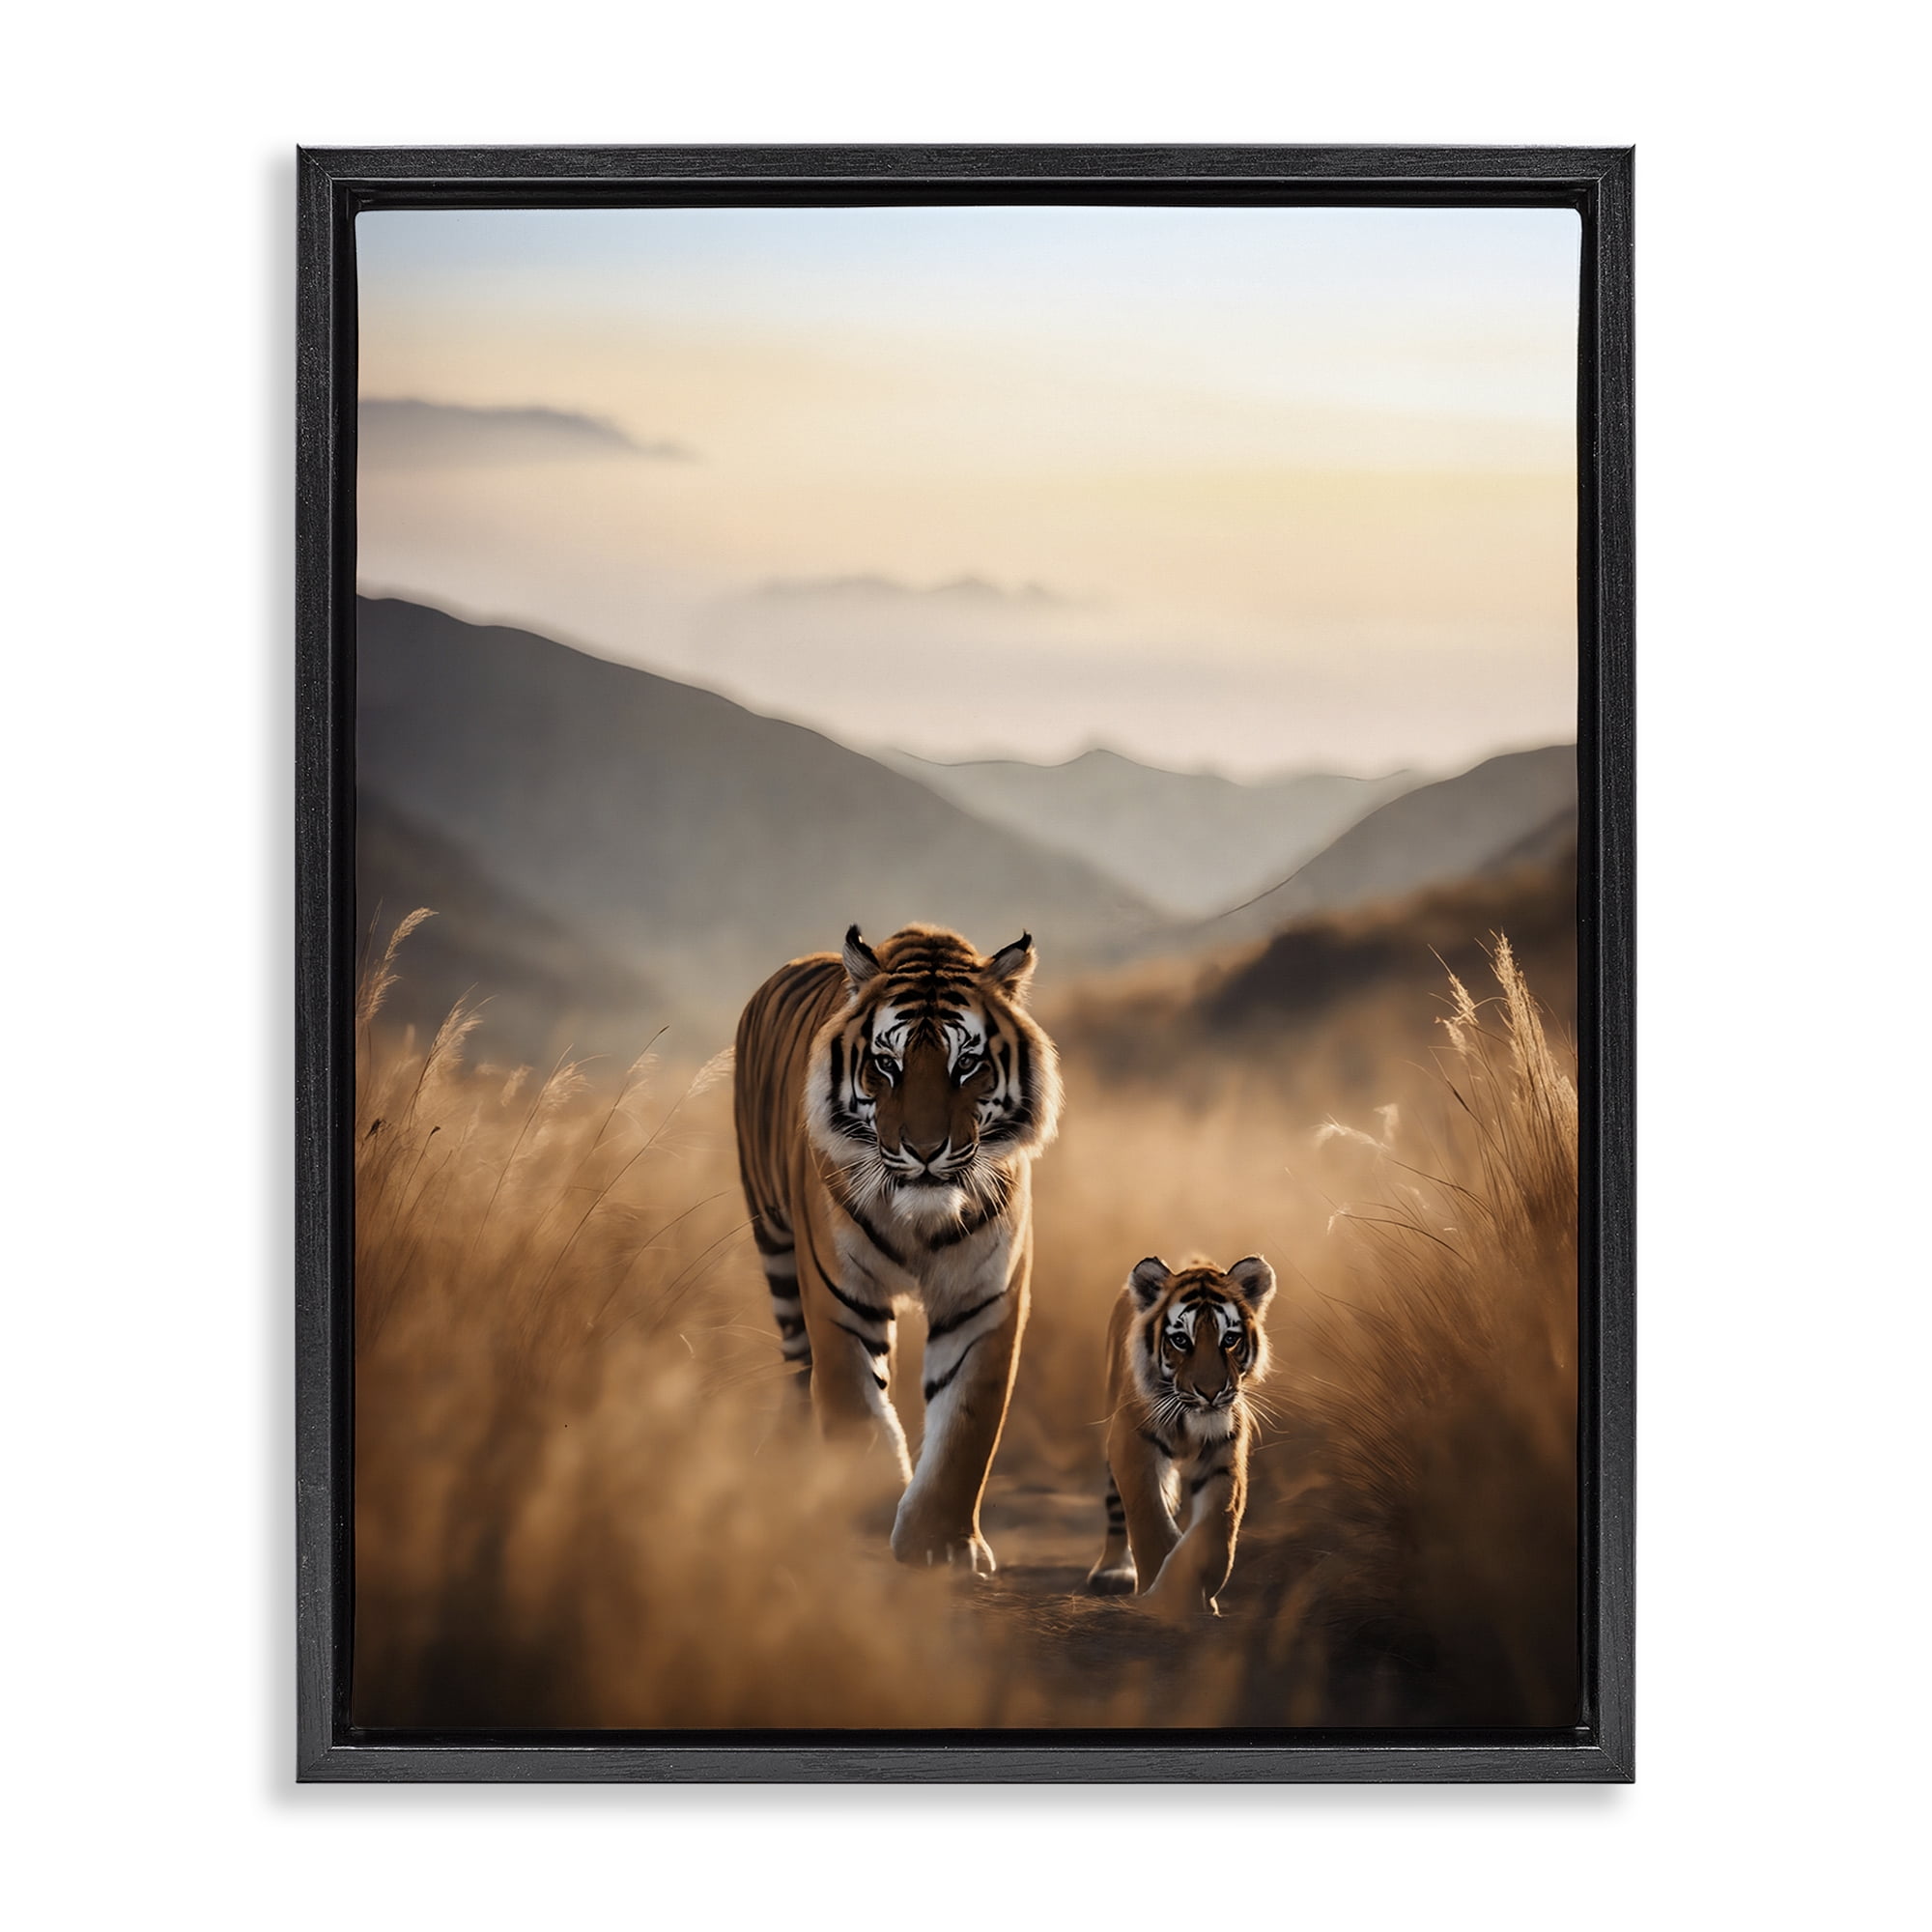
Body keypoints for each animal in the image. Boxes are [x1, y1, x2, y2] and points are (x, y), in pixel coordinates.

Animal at [733, 922, 1063, 1574]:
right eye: (887, 1065)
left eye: (967, 1064)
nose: (926, 1149)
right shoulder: (840, 1296)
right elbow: (855, 1407)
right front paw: (862, 1511)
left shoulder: (983, 1302)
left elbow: (967, 1429)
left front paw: (940, 1542)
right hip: (775, 1245)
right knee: (798, 1368)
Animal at [1085, 1253, 1277, 1614]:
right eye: (1181, 1341)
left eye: (1229, 1339)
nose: (1211, 1393)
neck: (1189, 1426)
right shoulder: (1133, 1448)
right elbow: (1153, 1525)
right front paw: (1163, 1598)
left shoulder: (1225, 1461)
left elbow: (1214, 1531)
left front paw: (1196, 1591)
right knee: (1116, 1509)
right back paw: (1112, 1572)